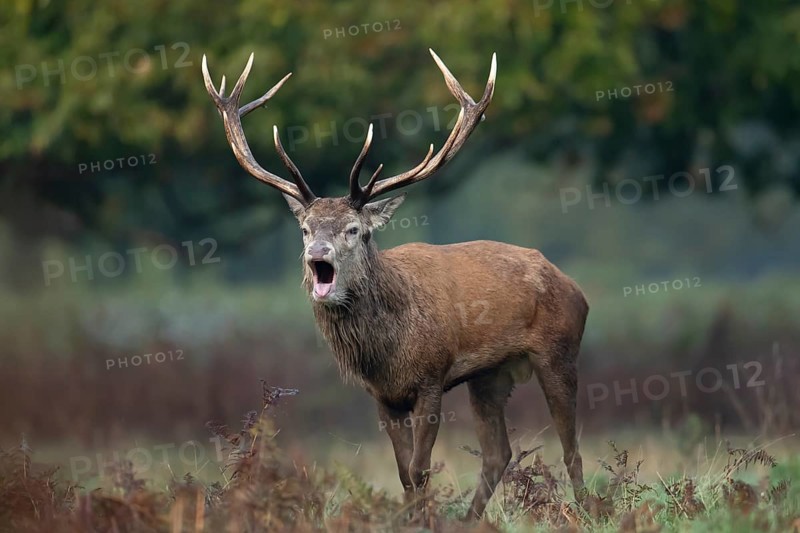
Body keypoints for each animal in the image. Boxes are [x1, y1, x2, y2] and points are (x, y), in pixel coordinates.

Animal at [201, 49, 589, 519]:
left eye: (355, 230)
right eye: (306, 229)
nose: (317, 255)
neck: (387, 351)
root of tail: (576, 288)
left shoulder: (431, 378)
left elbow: (421, 470)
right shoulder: (383, 396)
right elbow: (404, 474)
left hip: (559, 351)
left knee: (572, 449)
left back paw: (589, 512)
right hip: (490, 376)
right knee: (499, 453)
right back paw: (471, 521)